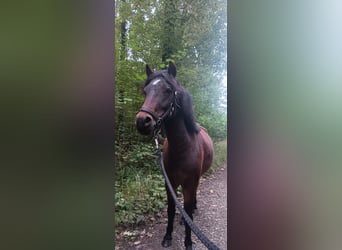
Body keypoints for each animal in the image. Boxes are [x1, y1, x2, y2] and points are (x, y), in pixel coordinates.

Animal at [134, 61, 212, 250]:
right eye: (145, 91)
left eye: (168, 90)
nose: (142, 121)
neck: (183, 148)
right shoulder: (170, 182)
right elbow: (170, 209)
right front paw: (168, 236)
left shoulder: (190, 182)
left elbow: (188, 209)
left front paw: (188, 242)